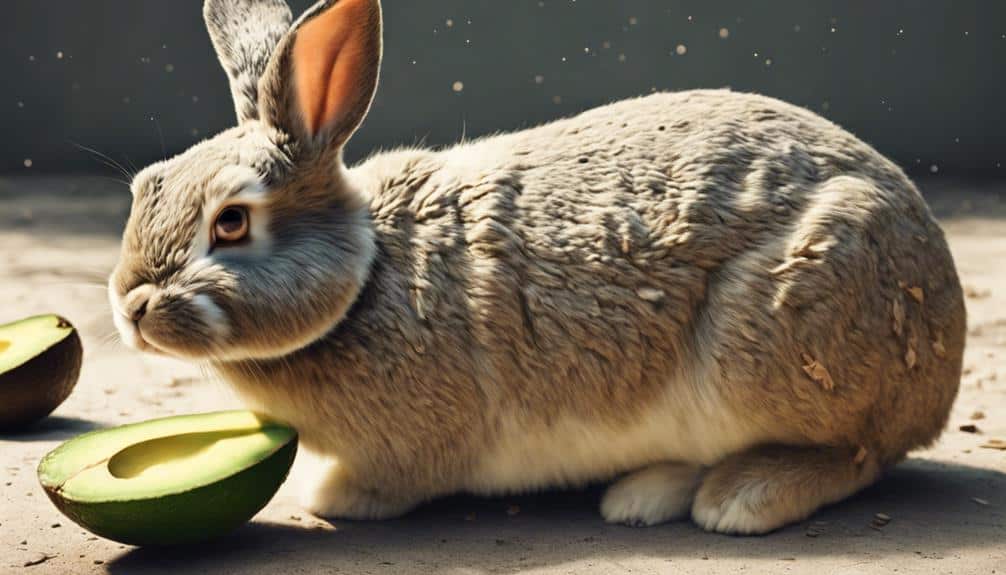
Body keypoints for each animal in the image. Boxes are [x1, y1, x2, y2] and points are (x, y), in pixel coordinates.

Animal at [108, 0, 966, 535]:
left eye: (231, 221)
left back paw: (734, 498)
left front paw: (330, 498)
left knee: (857, 453)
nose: (130, 307)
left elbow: (388, 482)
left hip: (776, 343)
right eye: (147, 184)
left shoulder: (413, 444)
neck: (367, 277)